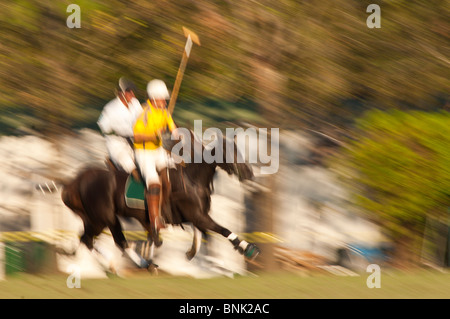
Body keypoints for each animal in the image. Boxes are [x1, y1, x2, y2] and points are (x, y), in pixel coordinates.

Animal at [62, 129, 260, 272]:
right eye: (230, 152)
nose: (249, 173)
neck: (193, 179)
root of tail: (77, 181)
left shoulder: (195, 217)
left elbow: (206, 236)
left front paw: (207, 259)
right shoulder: (197, 215)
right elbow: (222, 230)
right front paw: (248, 248)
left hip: (95, 219)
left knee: (86, 239)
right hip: (105, 217)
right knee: (115, 241)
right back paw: (135, 264)